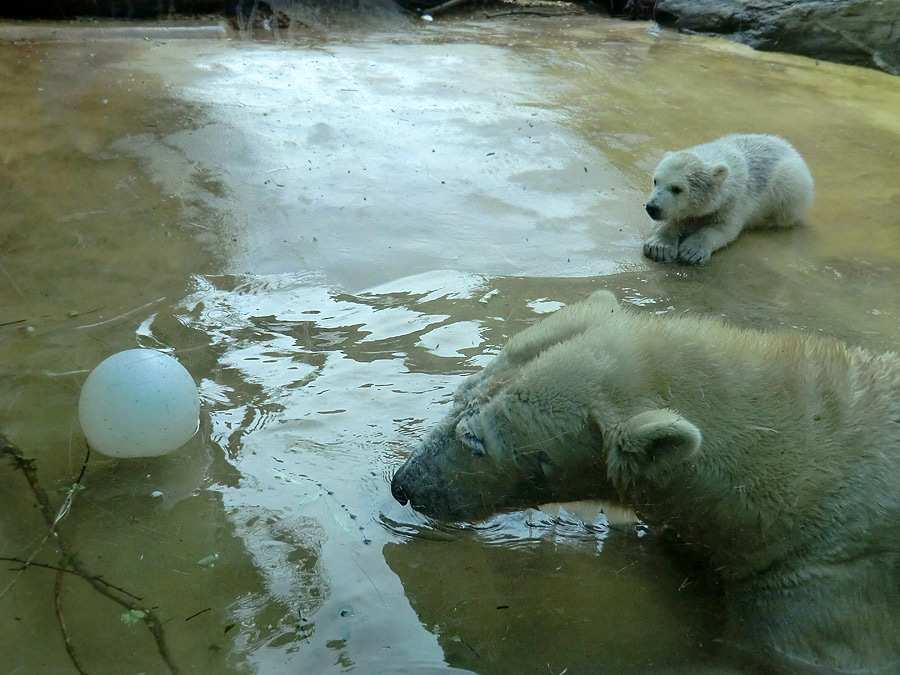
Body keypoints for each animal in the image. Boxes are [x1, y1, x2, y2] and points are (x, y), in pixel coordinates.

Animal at [640, 133, 816, 266]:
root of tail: (787, 145)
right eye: (656, 181)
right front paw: (660, 248)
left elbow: (722, 228)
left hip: (791, 185)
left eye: (677, 188)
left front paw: (692, 251)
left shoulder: (733, 201)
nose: (652, 207)